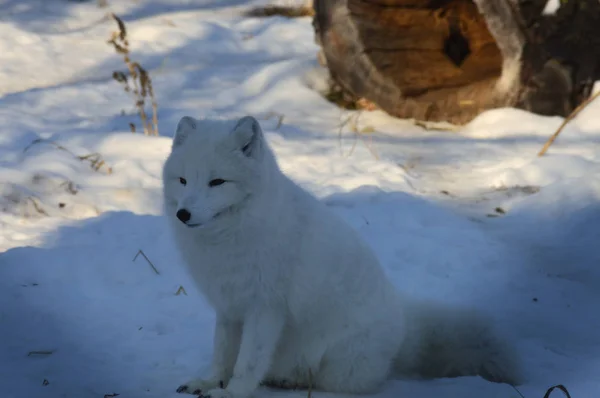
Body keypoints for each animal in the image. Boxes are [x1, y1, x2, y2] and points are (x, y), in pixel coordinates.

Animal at [163, 116, 520, 398]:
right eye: (183, 180)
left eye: (217, 182)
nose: (183, 214)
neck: (230, 237)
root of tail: (405, 329)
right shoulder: (227, 307)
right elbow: (222, 353)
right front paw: (208, 382)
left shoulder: (265, 308)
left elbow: (248, 361)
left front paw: (232, 392)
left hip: (338, 365)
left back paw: (288, 381)